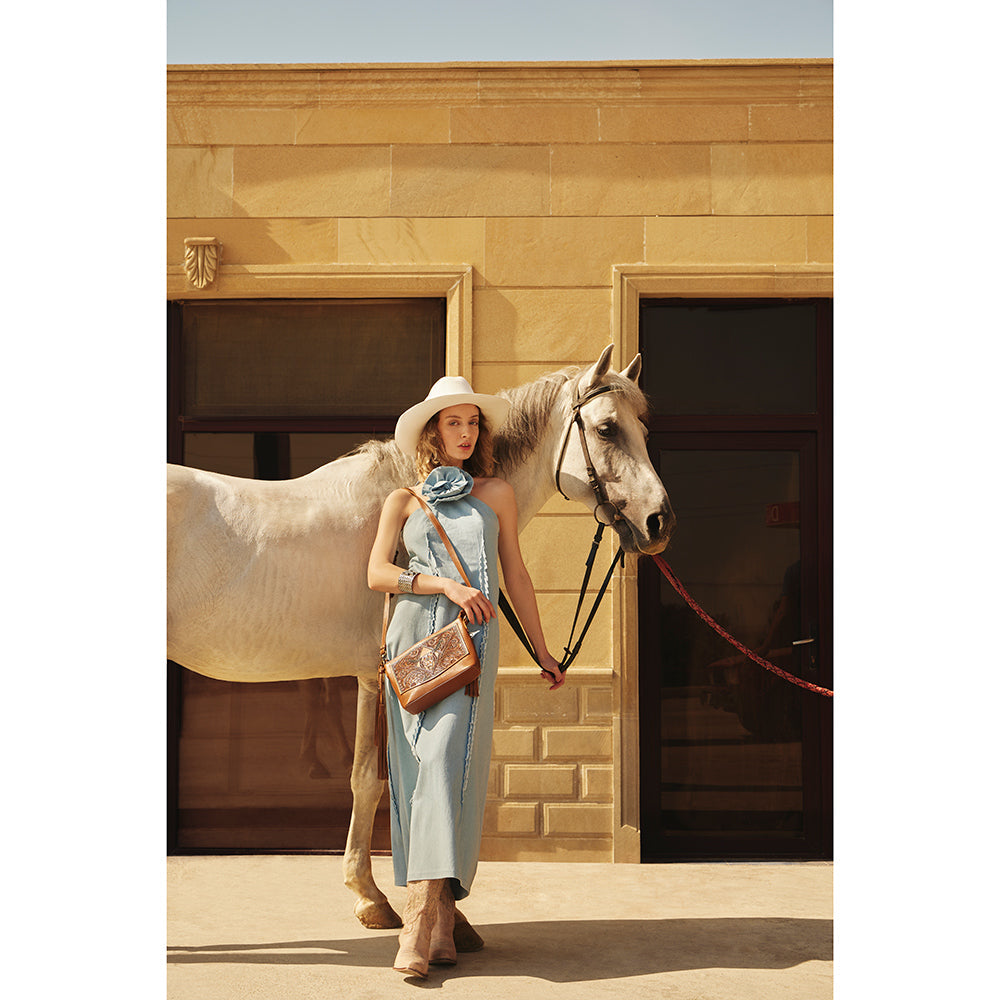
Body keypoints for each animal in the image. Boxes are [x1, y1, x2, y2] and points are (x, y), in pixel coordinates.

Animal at [168, 348, 676, 940]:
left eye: (642, 427)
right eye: (607, 428)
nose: (659, 521)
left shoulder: (370, 676)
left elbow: (369, 780)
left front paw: (389, 901)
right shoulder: (377, 675)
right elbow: (372, 782)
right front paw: (391, 902)